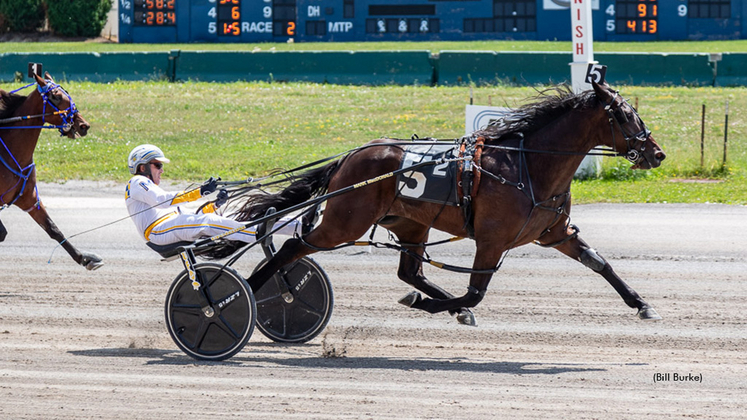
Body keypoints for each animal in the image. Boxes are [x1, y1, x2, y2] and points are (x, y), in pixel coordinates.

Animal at [0, 72, 102, 270]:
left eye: (66, 92)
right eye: (55, 96)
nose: (83, 125)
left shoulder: (29, 198)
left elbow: (52, 229)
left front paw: (83, 258)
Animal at [224, 83, 668, 324]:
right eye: (624, 114)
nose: (657, 153)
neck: (527, 165)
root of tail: (350, 157)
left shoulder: (556, 232)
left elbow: (600, 264)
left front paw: (642, 304)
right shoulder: (491, 241)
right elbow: (474, 293)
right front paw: (441, 307)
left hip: (409, 223)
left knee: (409, 272)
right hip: (344, 223)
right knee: (290, 248)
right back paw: (242, 292)